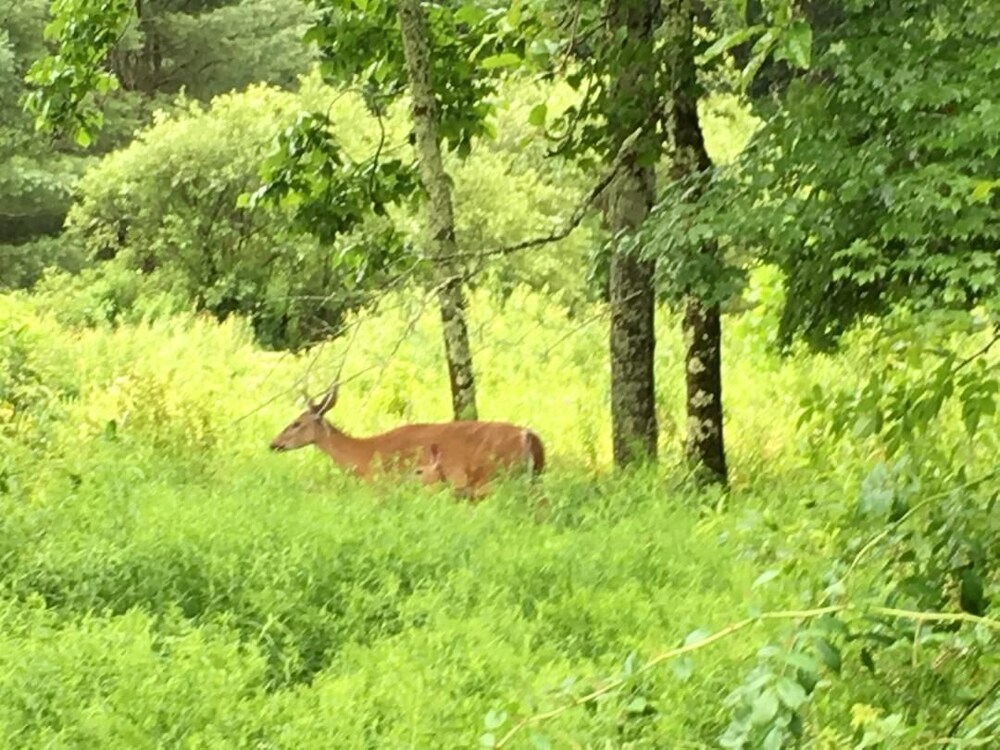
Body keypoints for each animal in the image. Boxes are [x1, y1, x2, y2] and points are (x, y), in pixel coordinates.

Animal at [270, 384, 544, 502]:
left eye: (296, 423)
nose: (273, 444)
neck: (363, 456)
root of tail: (528, 435)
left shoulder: (381, 485)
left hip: (495, 476)